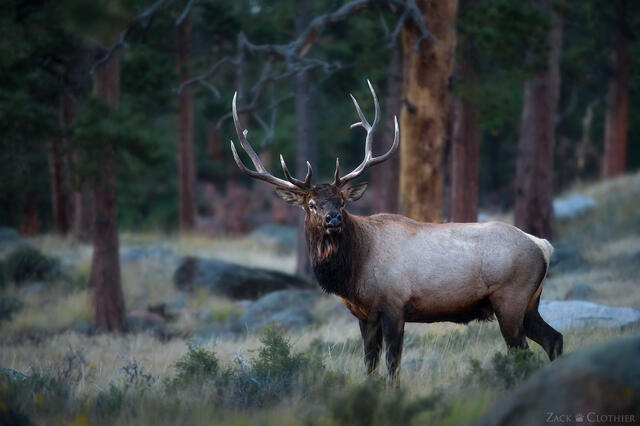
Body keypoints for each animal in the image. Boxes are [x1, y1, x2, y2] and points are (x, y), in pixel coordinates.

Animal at [229, 81, 563, 382]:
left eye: (341, 201)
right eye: (311, 204)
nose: (333, 219)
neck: (354, 272)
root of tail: (543, 245)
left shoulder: (394, 305)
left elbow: (392, 364)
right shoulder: (364, 316)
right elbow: (370, 364)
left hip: (510, 298)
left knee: (521, 350)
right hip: (530, 302)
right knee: (554, 338)